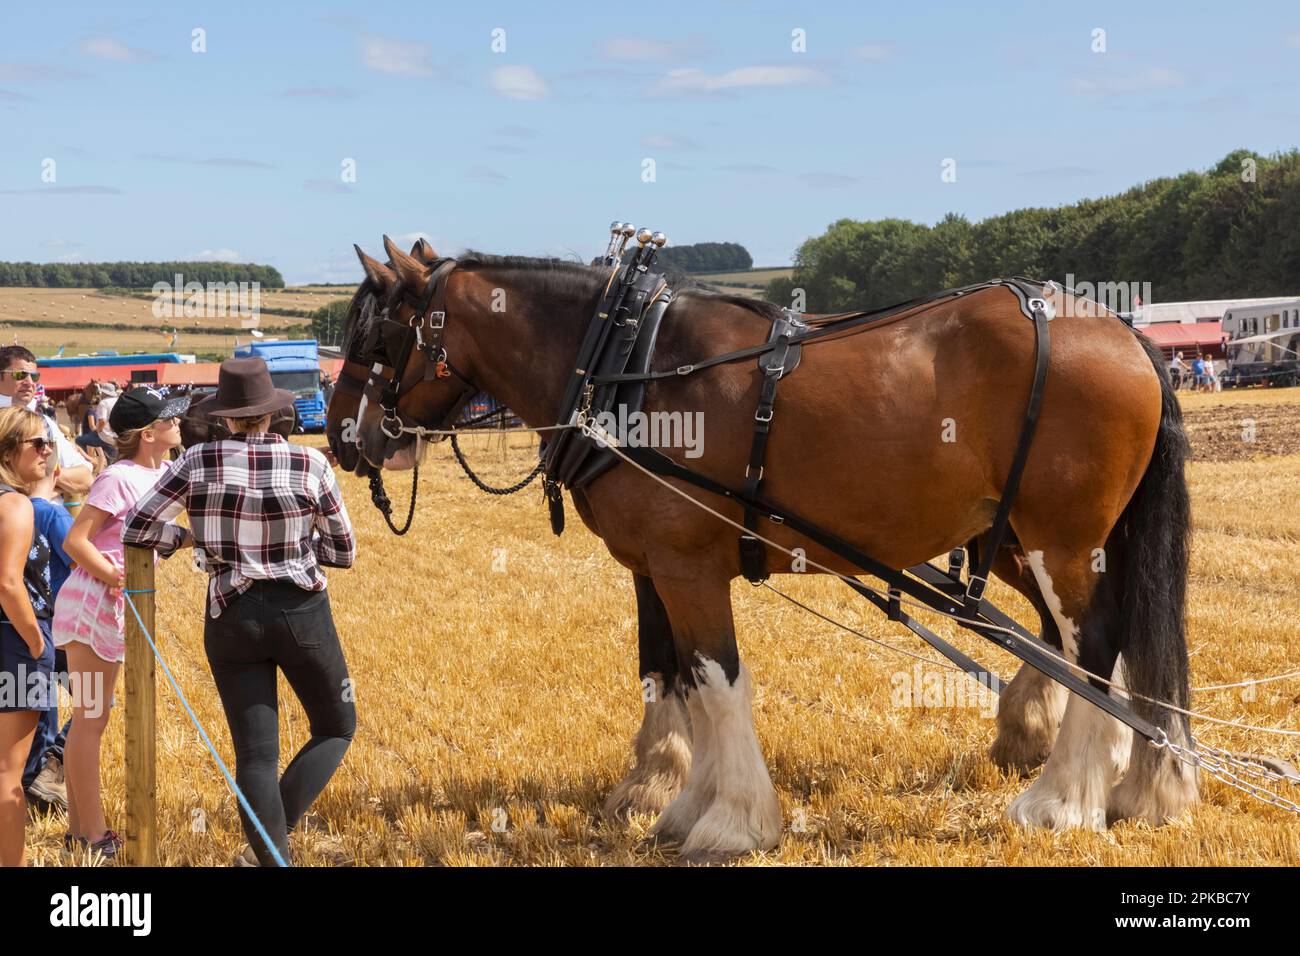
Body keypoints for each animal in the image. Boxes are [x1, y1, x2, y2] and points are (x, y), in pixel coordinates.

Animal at [327, 238, 1196, 858]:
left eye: (379, 335)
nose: (340, 437)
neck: (627, 362)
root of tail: (1122, 332)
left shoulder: (685, 563)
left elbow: (717, 682)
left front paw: (733, 821)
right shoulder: (656, 566)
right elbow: (673, 675)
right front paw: (677, 803)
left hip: (1059, 540)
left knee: (1093, 646)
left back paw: (1062, 799)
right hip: (1039, 540)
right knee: (1100, 646)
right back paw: (1137, 783)